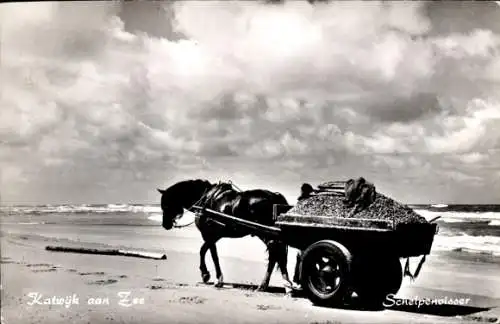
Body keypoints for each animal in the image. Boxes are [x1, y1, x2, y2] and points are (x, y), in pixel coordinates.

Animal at [157, 178, 292, 292]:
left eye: (166, 205)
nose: (165, 224)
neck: (204, 200)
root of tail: (274, 196)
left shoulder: (208, 235)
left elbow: (211, 254)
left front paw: (215, 278)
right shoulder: (214, 236)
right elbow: (205, 251)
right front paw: (206, 275)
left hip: (266, 234)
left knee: (275, 254)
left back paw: (272, 284)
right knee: (276, 255)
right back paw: (280, 284)